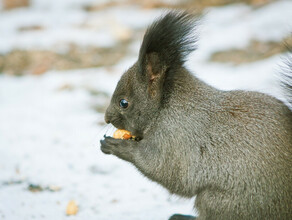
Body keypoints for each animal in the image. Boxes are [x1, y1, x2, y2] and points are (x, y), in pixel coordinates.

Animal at [100, 11, 292, 219]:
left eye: (124, 103)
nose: (106, 118)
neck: (165, 107)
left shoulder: (174, 140)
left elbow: (163, 169)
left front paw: (117, 146)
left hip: (222, 203)